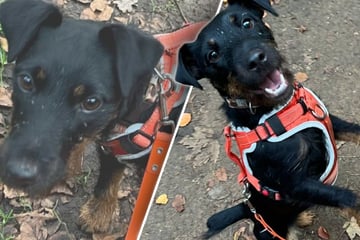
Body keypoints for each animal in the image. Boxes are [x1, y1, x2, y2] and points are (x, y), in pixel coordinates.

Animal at [0, 0, 166, 234]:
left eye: (91, 102)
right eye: (26, 81)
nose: (18, 174)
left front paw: (98, 216)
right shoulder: (114, 141)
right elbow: (108, 173)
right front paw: (99, 213)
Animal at [176, 0, 360, 240]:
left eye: (247, 22)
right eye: (213, 55)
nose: (256, 59)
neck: (275, 110)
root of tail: (249, 210)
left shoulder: (331, 122)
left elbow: (356, 131)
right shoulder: (293, 183)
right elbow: (351, 198)